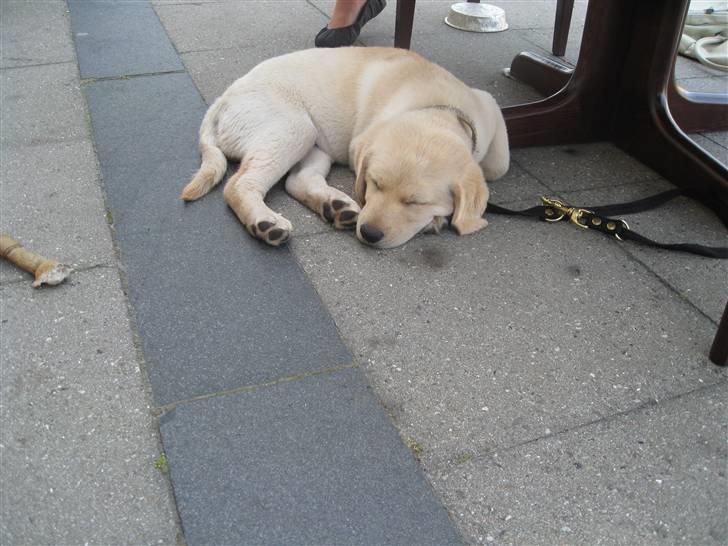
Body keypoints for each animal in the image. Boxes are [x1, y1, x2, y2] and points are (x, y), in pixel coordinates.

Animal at [181, 46, 510, 246]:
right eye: (375, 184)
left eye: (415, 203)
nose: (369, 233)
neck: (436, 107)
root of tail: (223, 99)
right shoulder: (360, 142)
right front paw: (437, 220)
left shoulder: (489, 106)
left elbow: (499, 163)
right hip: (295, 127)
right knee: (238, 184)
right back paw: (265, 222)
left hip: (317, 142)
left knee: (297, 181)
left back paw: (334, 206)